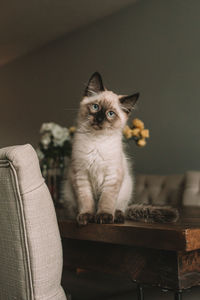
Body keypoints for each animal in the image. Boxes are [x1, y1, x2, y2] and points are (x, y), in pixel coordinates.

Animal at [60, 71, 178, 224]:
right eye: (95, 107)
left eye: (110, 114)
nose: (99, 119)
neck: (96, 141)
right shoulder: (81, 175)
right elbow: (86, 201)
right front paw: (87, 216)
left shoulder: (112, 176)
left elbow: (106, 201)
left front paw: (103, 217)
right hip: (68, 190)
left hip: (127, 186)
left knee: (120, 208)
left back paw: (117, 217)